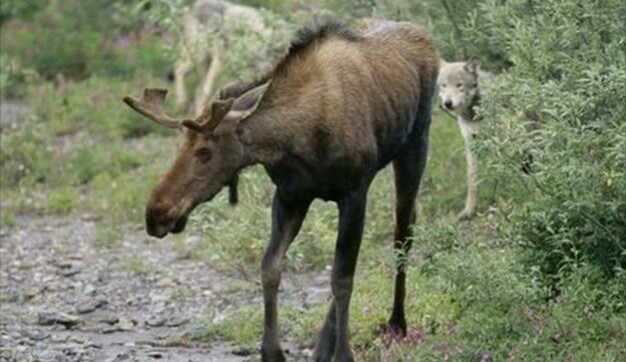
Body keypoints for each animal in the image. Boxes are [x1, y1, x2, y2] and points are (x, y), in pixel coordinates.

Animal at [124, 19, 436, 362]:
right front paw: (272, 351)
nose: (156, 213)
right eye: (180, 145)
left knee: (403, 234)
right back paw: (323, 344)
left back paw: (396, 323)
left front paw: (344, 353)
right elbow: (271, 267)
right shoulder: (289, 196)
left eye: (205, 151)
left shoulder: (353, 193)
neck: (296, 141)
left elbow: (341, 278)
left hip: (414, 147)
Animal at [434, 60, 488, 219]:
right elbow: (472, 180)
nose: (447, 103)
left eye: (459, 85)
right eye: (444, 85)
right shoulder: (471, 143)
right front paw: (469, 210)